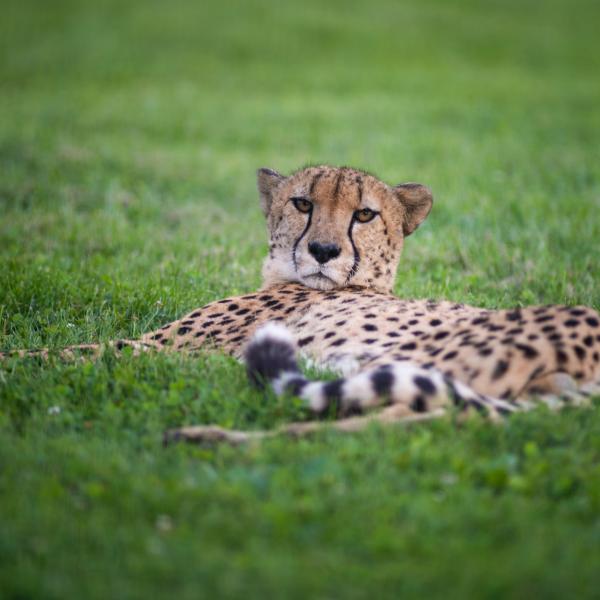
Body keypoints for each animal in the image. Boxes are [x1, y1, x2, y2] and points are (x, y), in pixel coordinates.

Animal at [1, 166, 600, 442]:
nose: (324, 251)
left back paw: (204, 438)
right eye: (303, 203)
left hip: (439, 359)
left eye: (365, 214)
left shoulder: (163, 349)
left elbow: (64, 352)